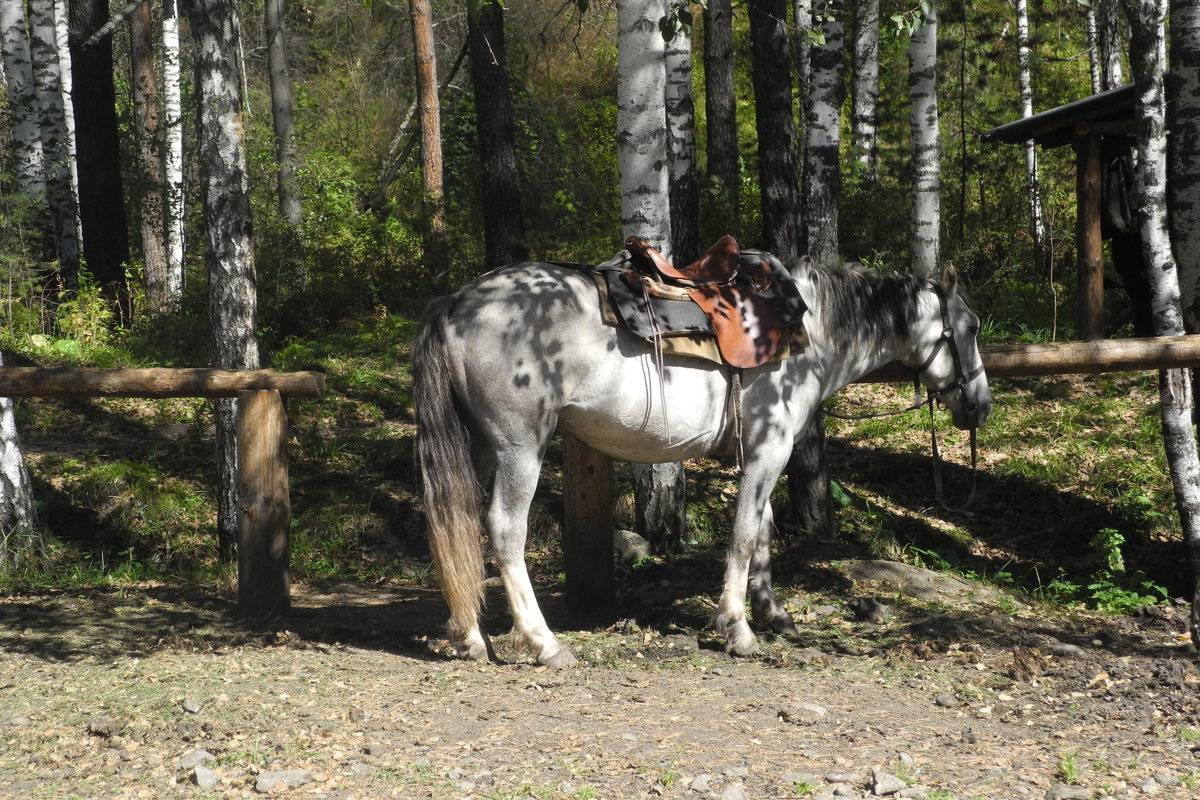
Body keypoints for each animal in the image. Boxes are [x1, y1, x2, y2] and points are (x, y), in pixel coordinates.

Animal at [412, 253, 993, 666]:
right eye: (970, 327)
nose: (980, 406)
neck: (807, 332)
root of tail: (455, 302)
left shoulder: (760, 455)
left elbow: (763, 531)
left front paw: (774, 614)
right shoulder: (769, 452)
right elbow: (743, 536)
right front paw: (737, 628)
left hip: (479, 447)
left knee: (456, 523)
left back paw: (469, 637)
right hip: (519, 448)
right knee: (505, 530)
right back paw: (543, 642)